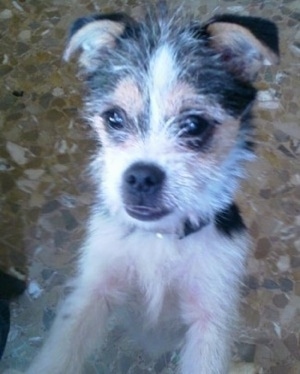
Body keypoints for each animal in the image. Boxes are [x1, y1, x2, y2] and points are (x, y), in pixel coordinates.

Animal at [6, 3, 278, 374]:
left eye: (194, 124)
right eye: (114, 118)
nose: (140, 177)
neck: (159, 238)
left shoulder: (210, 314)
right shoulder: (94, 290)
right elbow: (62, 349)